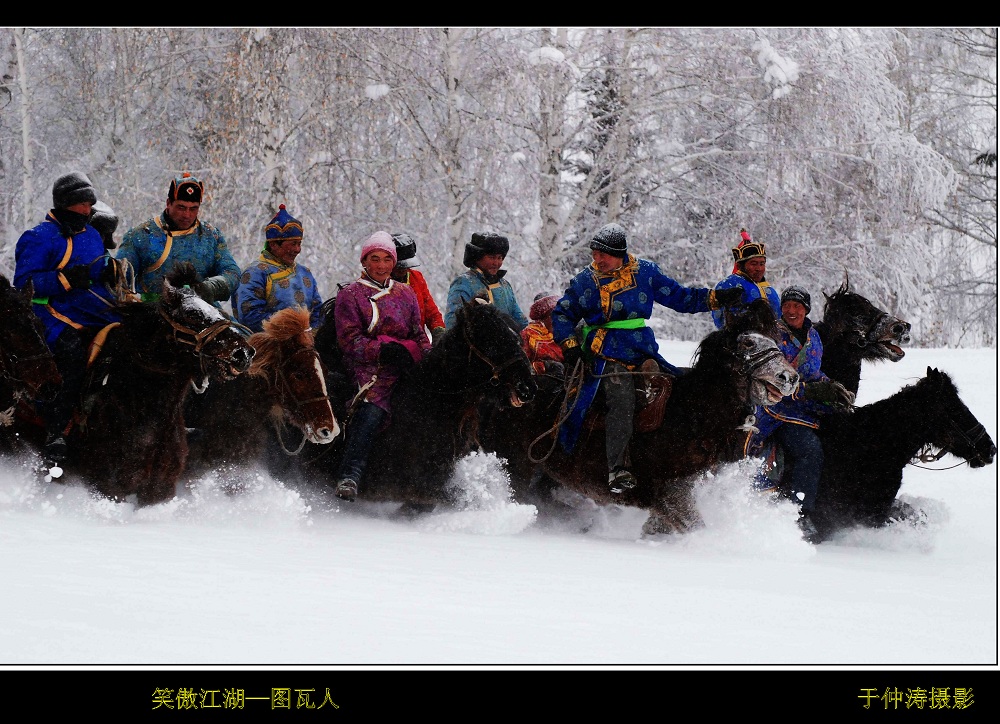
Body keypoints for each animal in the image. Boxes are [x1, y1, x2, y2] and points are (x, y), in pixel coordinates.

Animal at [480, 296, 800, 536]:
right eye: (748, 343)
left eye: (774, 339)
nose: (789, 378)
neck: (692, 415)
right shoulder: (672, 494)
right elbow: (695, 526)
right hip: (517, 465)